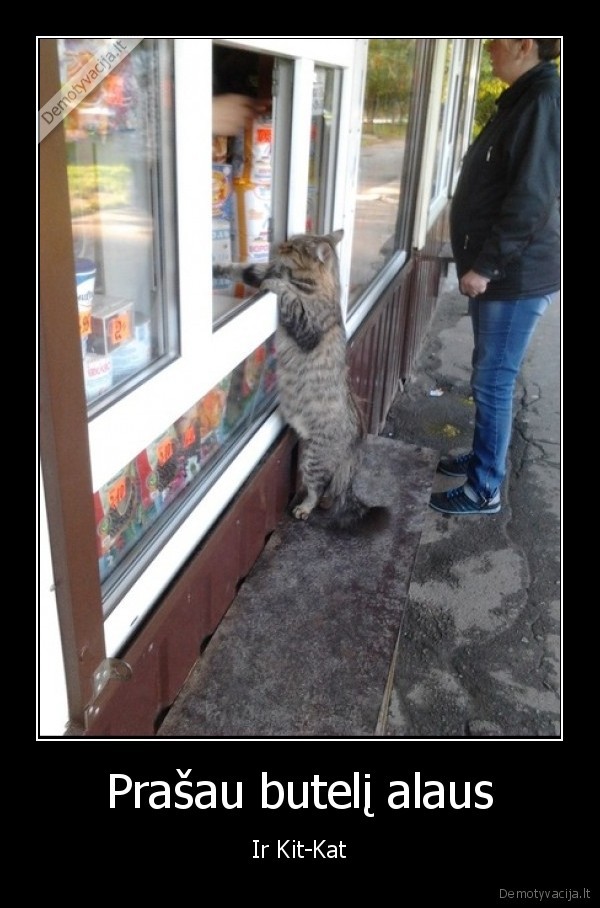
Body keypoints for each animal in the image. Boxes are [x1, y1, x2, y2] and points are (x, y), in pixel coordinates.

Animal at [214, 226, 390, 532]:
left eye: (294, 247)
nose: (281, 244)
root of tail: (355, 442)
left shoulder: (306, 325)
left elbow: (286, 294)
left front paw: (276, 285)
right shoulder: (262, 269)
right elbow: (241, 269)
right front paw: (216, 267)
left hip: (312, 459)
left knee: (317, 488)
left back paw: (306, 507)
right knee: (330, 489)